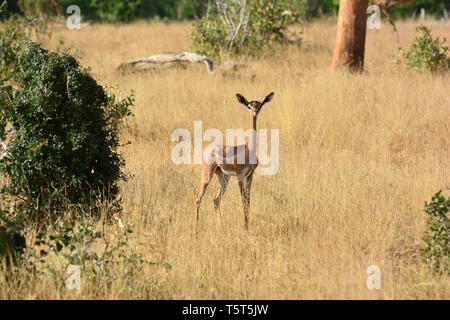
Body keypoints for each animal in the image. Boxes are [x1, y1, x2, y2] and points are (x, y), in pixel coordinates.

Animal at [193, 91, 274, 231]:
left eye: (260, 105)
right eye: (249, 105)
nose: (255, 111)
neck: (249, 149)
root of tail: (208, 149)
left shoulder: (250, 176)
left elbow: (248, 200)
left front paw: (247, 226)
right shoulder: (240, 176)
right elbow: (243, 200)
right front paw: (245, 228)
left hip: (223, 177)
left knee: (216, 199)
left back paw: (222, 227)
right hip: (207, 175)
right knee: (198, 197)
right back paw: (195, 229)